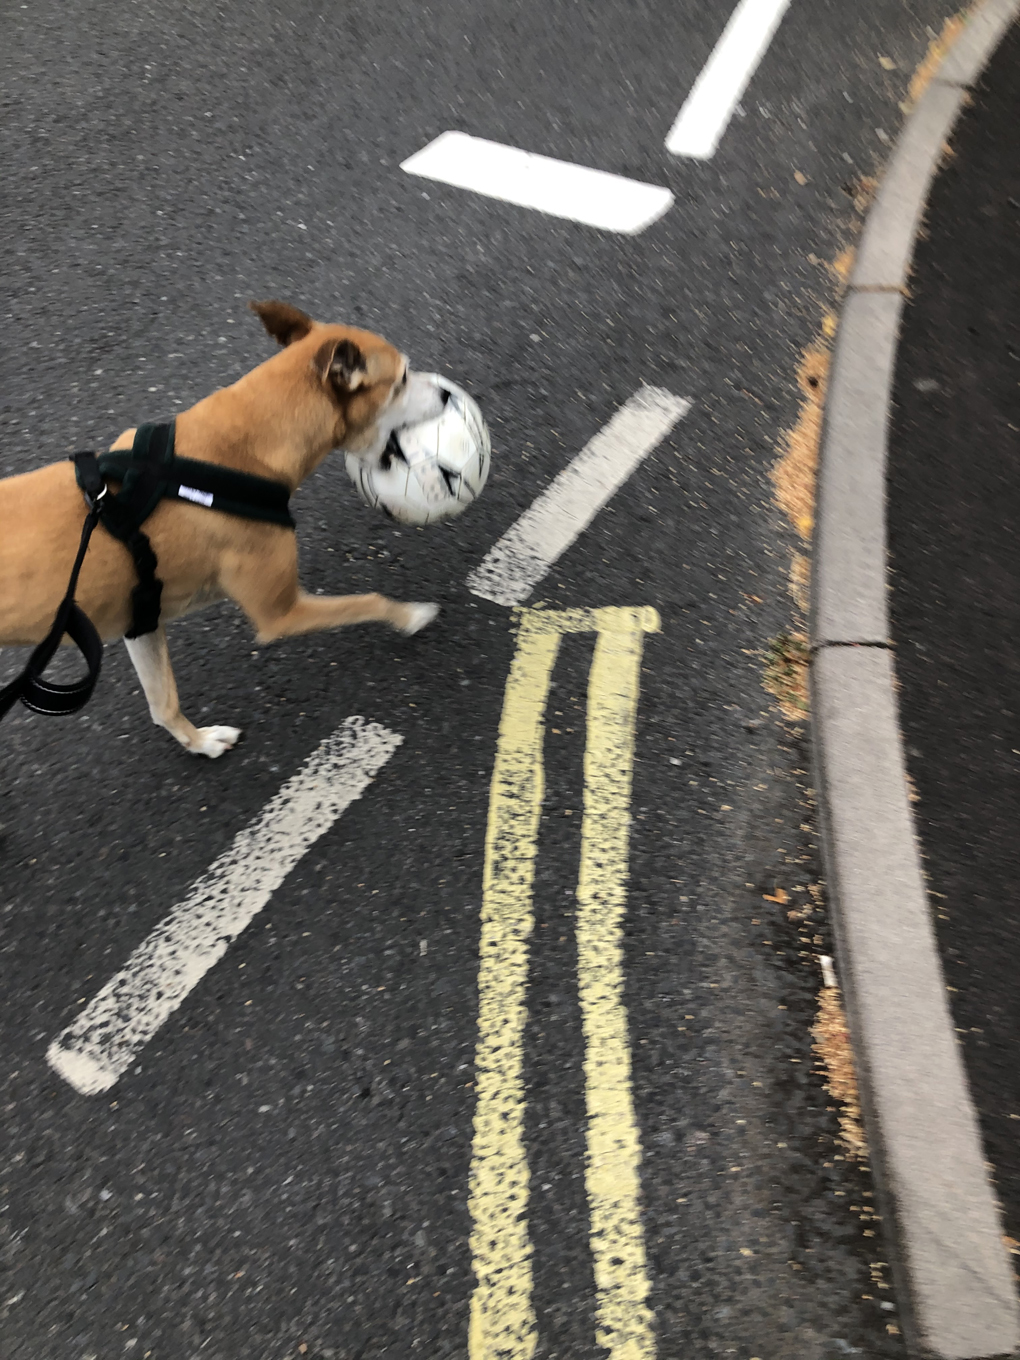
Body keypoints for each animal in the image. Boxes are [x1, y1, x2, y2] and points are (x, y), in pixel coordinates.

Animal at [0, 299, 446, 761]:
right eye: (403, 378)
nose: (448, 393)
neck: (249, 441)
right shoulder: (281, 613)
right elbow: (368, 601)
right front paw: (411, 615)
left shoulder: (141, 623)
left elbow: (163, 702)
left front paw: (199, 742)